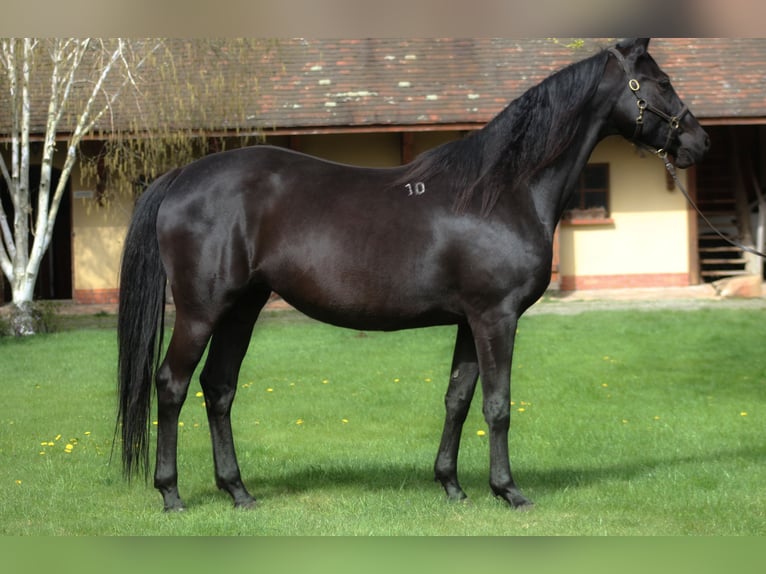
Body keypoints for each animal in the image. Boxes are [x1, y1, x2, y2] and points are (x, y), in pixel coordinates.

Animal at [116, 38, 709, 511]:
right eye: (661, 82)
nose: (699, 142)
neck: (504, 191)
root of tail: (180, 175)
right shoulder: (497, 317)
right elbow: (498, 405)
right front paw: (509, 491)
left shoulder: (470, 321)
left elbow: (458, 399)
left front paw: (452, 485)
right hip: (202, 310)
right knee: (172, 384)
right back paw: (171, 494)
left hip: (243, 306)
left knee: (218, 388)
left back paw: (238, 492)